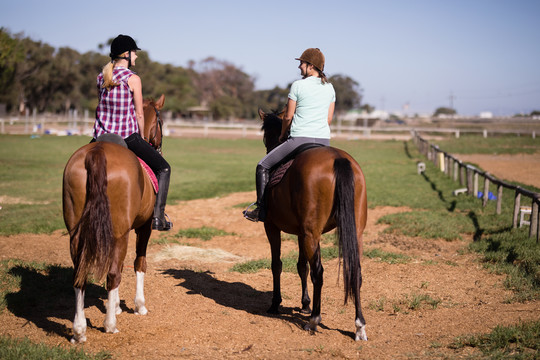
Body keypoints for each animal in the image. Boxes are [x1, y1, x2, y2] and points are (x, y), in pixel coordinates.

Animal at [63, 94, 165, 342]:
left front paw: (116, 304)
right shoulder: (144, 227)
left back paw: (79, 330)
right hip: (120, 232)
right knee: (112, 273)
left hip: (77, 233)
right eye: (160, 122)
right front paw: (138, 305)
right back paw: (110, 325)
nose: (159, 145)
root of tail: (97, 152)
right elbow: (139, 263)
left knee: (79, 275)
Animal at [256, 108, 368, 342]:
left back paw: (314, 320)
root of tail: (338, 159)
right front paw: (305, 304)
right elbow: (301, 266)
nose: (269, 147)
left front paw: (275, 304)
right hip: (352, 233)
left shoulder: (272, 227)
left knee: (319, 272)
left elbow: (277, 264)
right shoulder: (301, 233)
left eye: (266, 135)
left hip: (310, 234)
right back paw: (359, 325)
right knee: (356, 272)